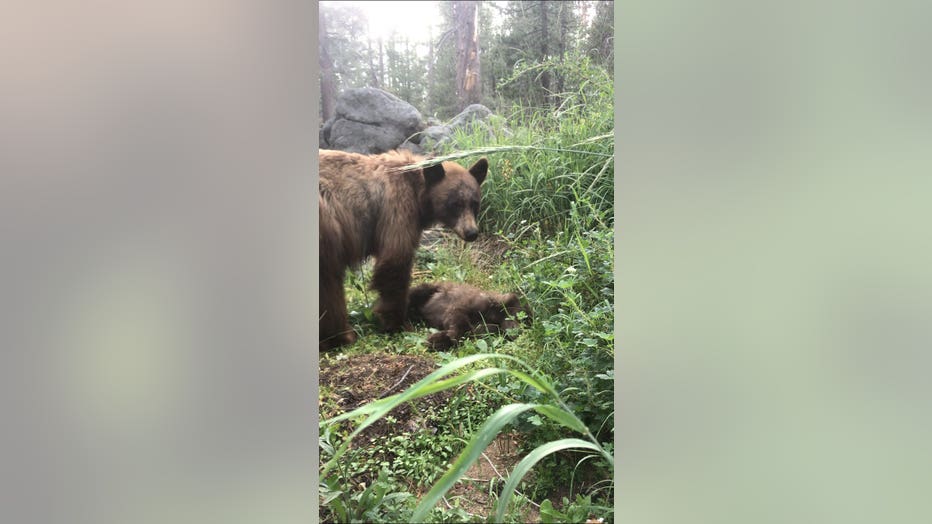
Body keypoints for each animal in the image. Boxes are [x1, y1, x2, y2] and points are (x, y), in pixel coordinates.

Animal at [318, 149, 484, 350]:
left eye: (474, 203)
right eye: (455, 204)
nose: (471, 232)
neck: (417, 188)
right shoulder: (397, 208)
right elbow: (395, 262)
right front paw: (398, 323)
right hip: (327, 227)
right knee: (329, 283)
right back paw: (341, 336)